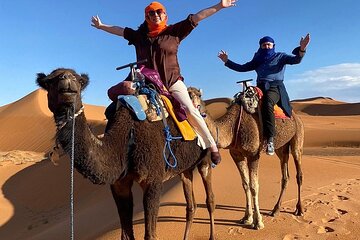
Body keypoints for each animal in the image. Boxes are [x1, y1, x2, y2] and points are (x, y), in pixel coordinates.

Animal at [36, 67, 217, 240]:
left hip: (205, 158)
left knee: (210, 199)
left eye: (79, 80)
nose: (67, 79)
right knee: (191, 205)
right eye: (48, 81)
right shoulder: (119, 185)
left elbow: (150, 235)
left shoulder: (153, 181)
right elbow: (126, 235)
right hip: (184, 168)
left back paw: (212, 235)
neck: (126, 138)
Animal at [188, 87, 304, 230]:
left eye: (197, 95)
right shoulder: (236, 154)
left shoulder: (253, 154)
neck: (232, 127)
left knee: (298, 173)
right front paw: (246, 218)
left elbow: (254, 186)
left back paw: (299, 209)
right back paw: (275, 210)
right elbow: (245, 184)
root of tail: (296, 117)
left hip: (297, 139)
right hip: (281, 148)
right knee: (285, 175)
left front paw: (258, 222)